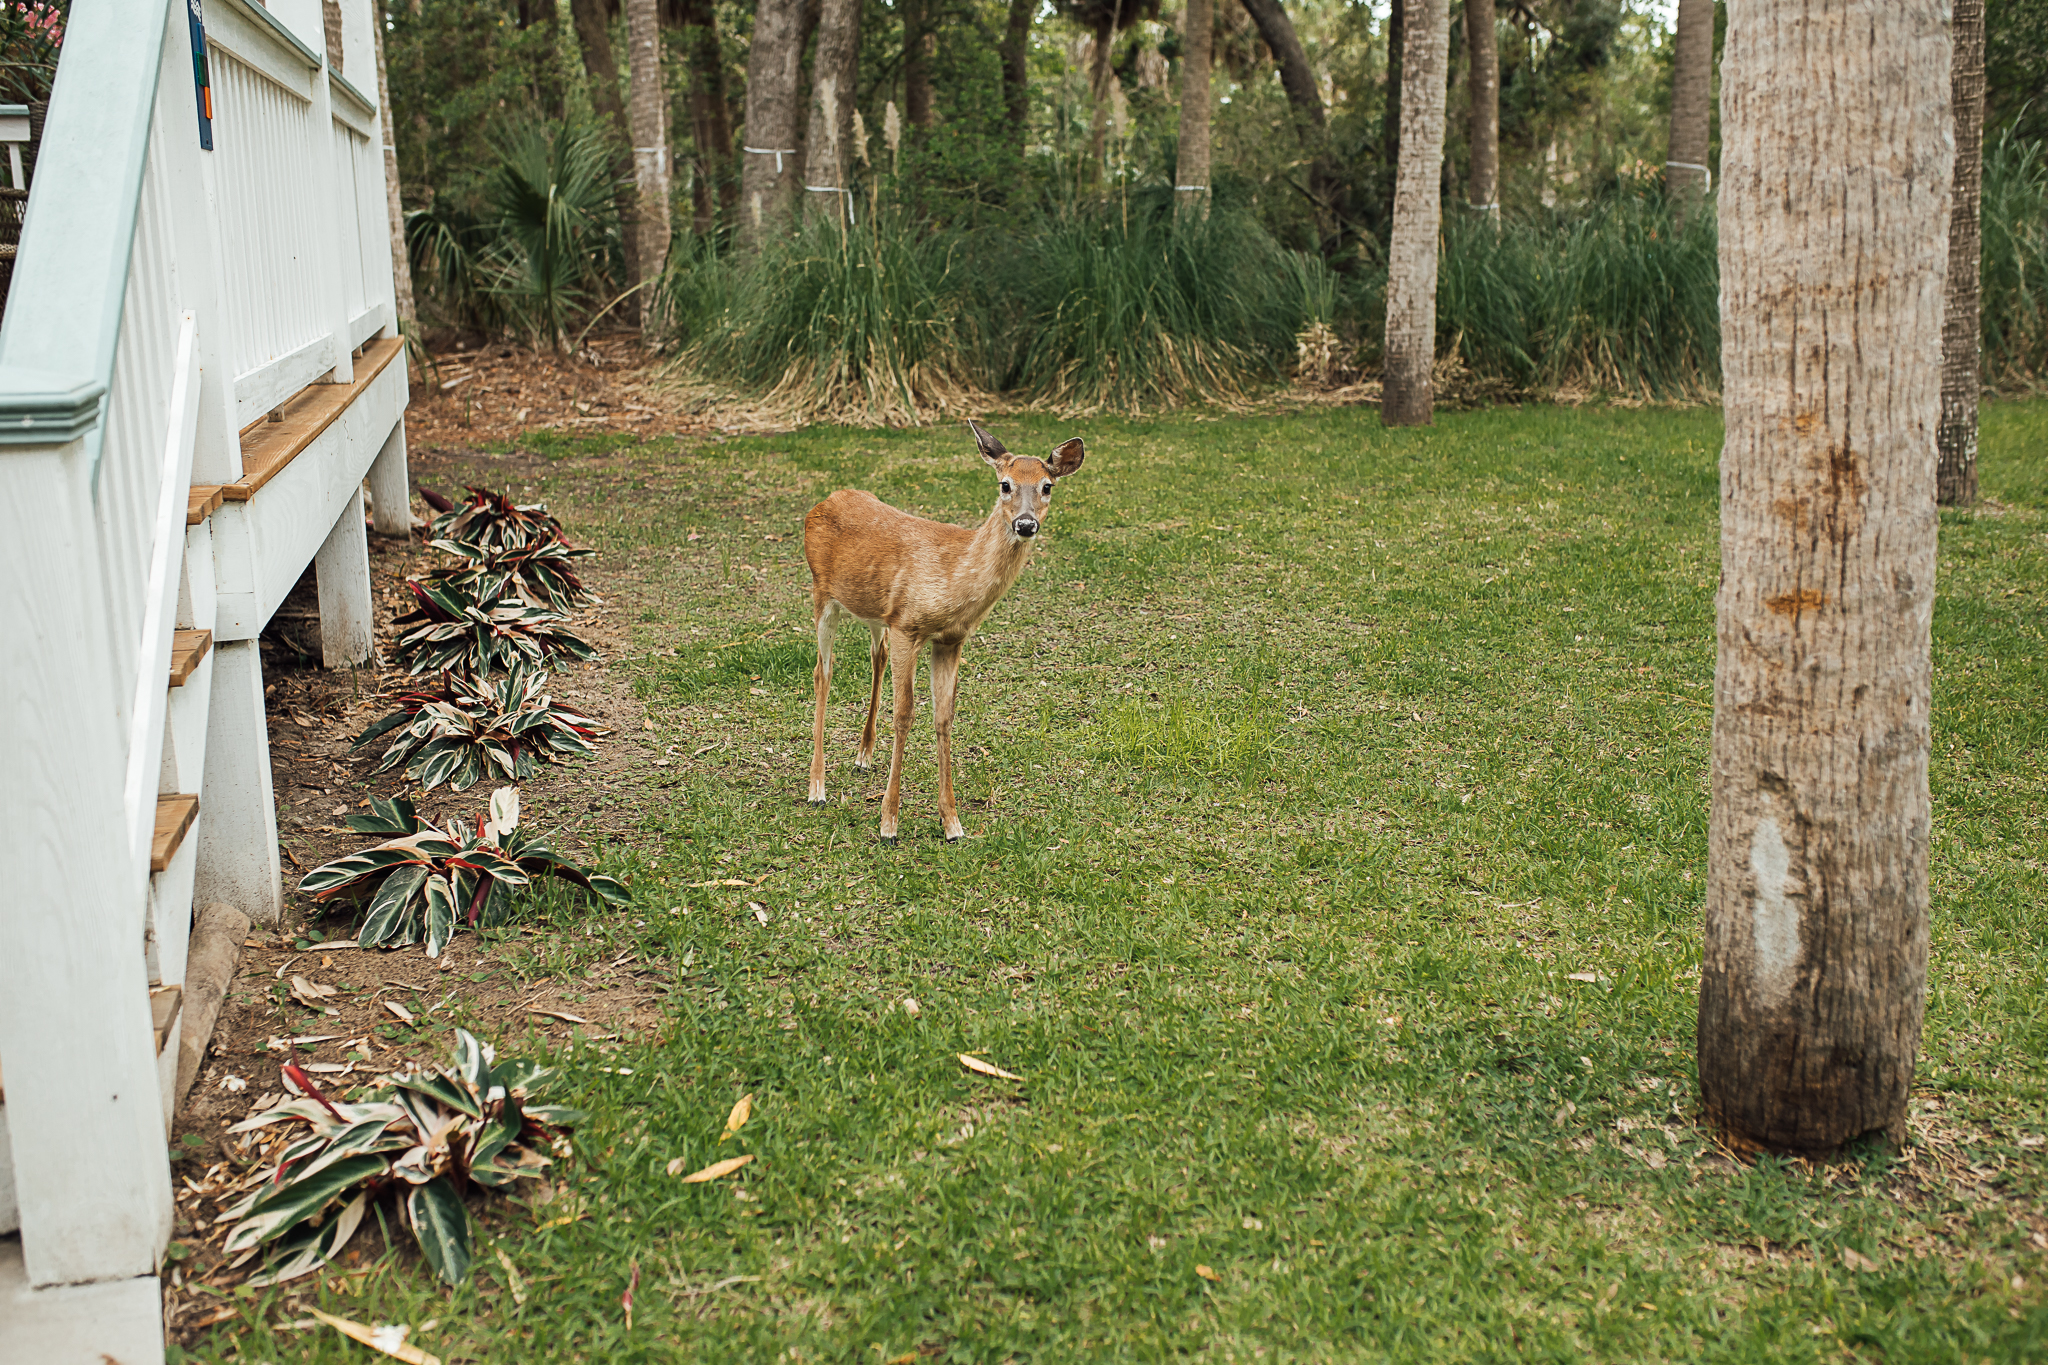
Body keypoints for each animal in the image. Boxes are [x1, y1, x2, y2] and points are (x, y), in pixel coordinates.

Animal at [802, 421, 1097, 839]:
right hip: (822, 592)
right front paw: (889, 823)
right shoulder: (908, 625)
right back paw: (817, 788)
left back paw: (864, 755)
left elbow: (944, 717)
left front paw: (953, 823)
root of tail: (822, 503)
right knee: (822, 672)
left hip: (873, 610)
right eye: (1004, 484)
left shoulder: (948, 639)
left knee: (877, 656)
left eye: (1047, 486)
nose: (1026, 524)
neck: (953, 576)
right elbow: (905, 714)